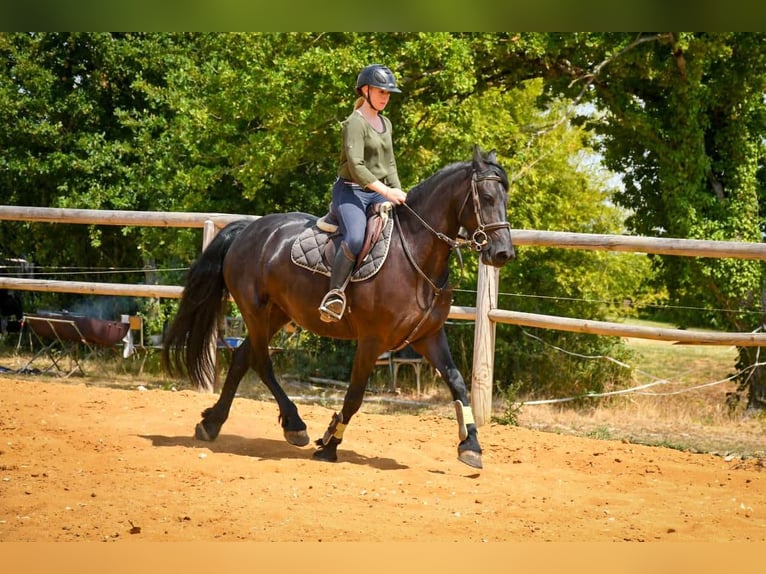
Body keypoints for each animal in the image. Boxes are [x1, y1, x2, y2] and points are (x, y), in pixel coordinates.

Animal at [166, 146, 520, 470]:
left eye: (505, 198)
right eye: (487, 197)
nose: (503, 253)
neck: (415, 253)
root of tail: (247, 231)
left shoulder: (428, 337)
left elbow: (457, 382)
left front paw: (470, 446)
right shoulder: (372, 341)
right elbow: (355, 395)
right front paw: (329, 445)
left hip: (277, 312)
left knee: (242, 358)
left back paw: (211, 424)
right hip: (254, 310)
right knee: (261, 362)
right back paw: (294, 425)